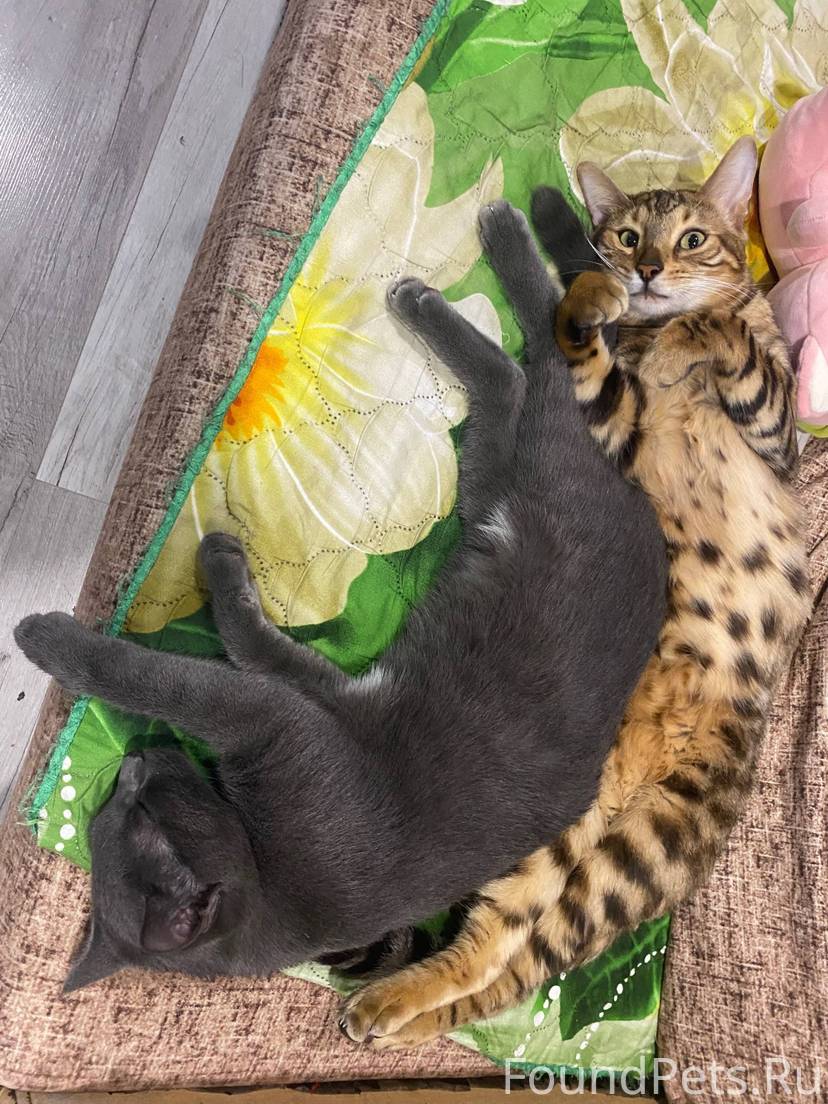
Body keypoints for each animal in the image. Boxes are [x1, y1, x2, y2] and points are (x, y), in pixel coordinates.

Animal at [14, 202, 667, 993]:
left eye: (135, 814)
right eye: (111, 808)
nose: (135, 761)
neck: (267, 878)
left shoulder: (270, 719)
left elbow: (167, 674)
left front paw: (49, 639)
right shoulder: (322, 697)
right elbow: (261, 646)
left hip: (547, 468)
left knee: (548, 356)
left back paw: (475, 249)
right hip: (486, 487)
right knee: (515, 378)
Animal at [339, 137, 811, 1048]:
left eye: (693, 237)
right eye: (628, 235)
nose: (649, 268)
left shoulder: (776, 436)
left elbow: (722, 326)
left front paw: (680, 330)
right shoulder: (614, 423)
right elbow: (585, 335)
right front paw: (596, 287)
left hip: (637, 854)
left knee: (511, 961)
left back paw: (392, 1010)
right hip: (592, 850)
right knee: (500, 950)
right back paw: (389, 1005)